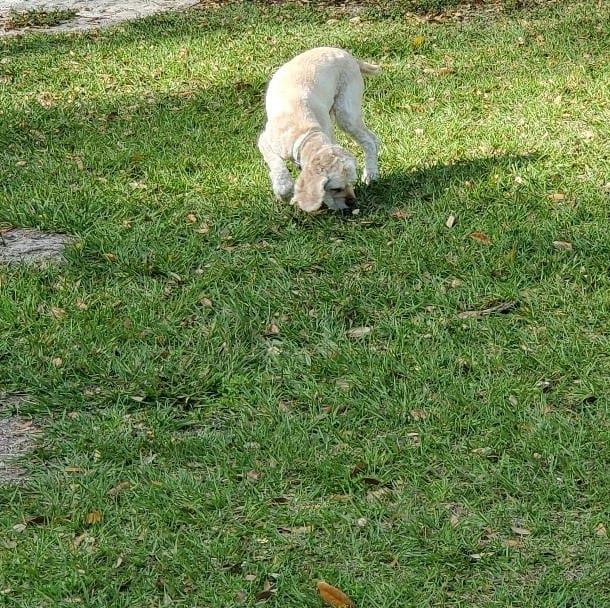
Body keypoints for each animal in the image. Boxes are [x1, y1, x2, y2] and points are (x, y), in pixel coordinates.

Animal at [256, 46, 380, 211]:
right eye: (336, 189)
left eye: (351, 182)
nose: (353, 203)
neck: (305, 133)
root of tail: (349, 55)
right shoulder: (265, 141)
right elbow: (277, 165)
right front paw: (284, 191)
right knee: (373, 139)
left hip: (346, 111)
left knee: (369, 141)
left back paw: (370, 174)